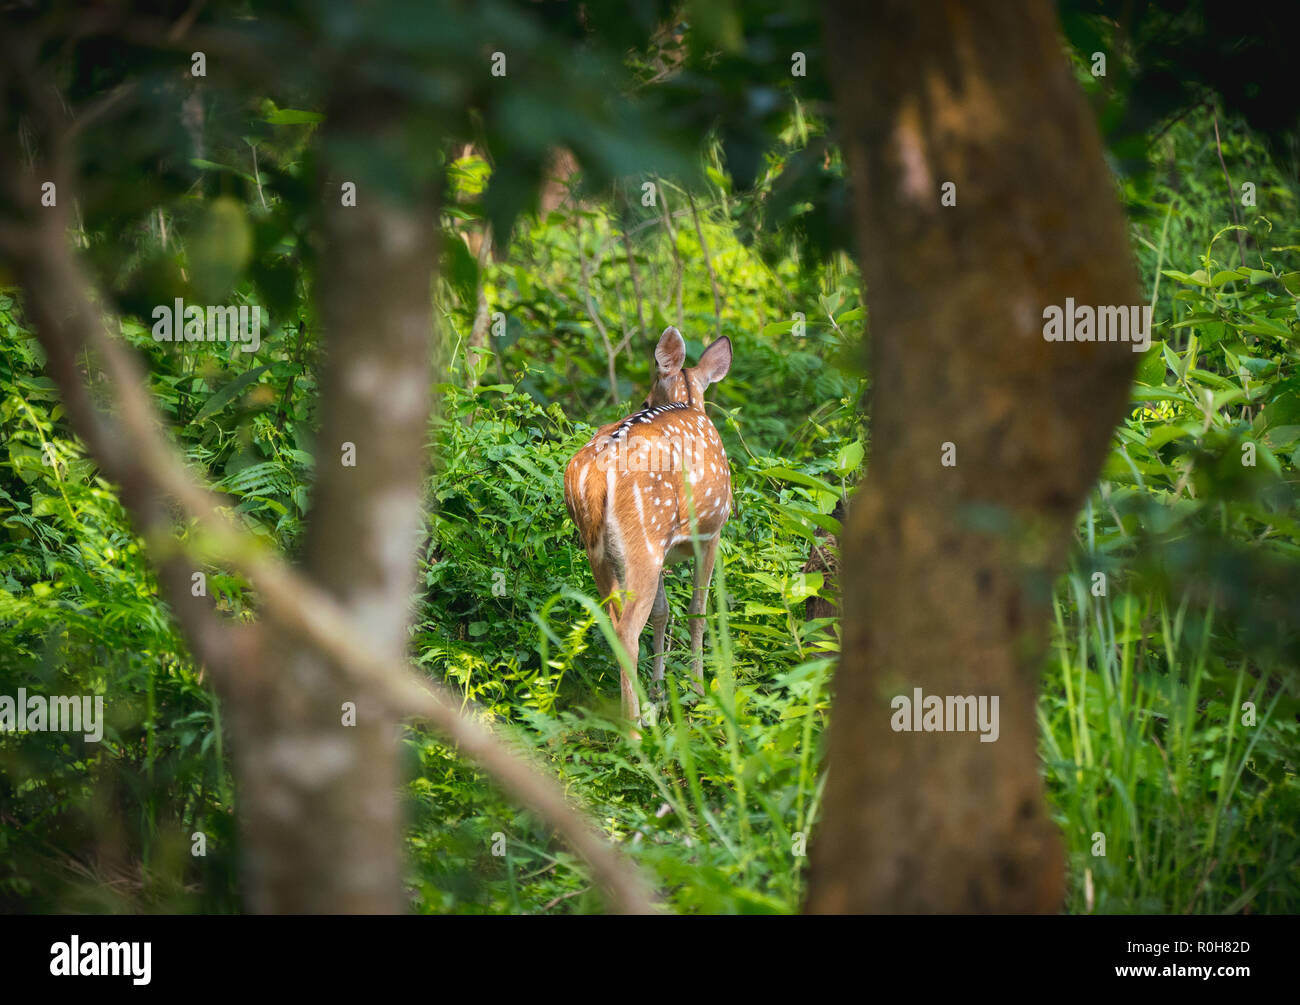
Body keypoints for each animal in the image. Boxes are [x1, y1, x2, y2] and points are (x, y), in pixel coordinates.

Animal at [563, 326, 733, 729]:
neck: (691, 403)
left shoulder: (666, 552)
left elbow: (662, 612)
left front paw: (659, 690)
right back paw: (635, 726)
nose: (640, 403)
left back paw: (640, 710)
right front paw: (698, 691)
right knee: (626, 628)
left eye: (645, 397)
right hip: (644, 537)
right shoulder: (712, 533)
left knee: (612, 620)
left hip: (603, 549)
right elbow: (697, 610)